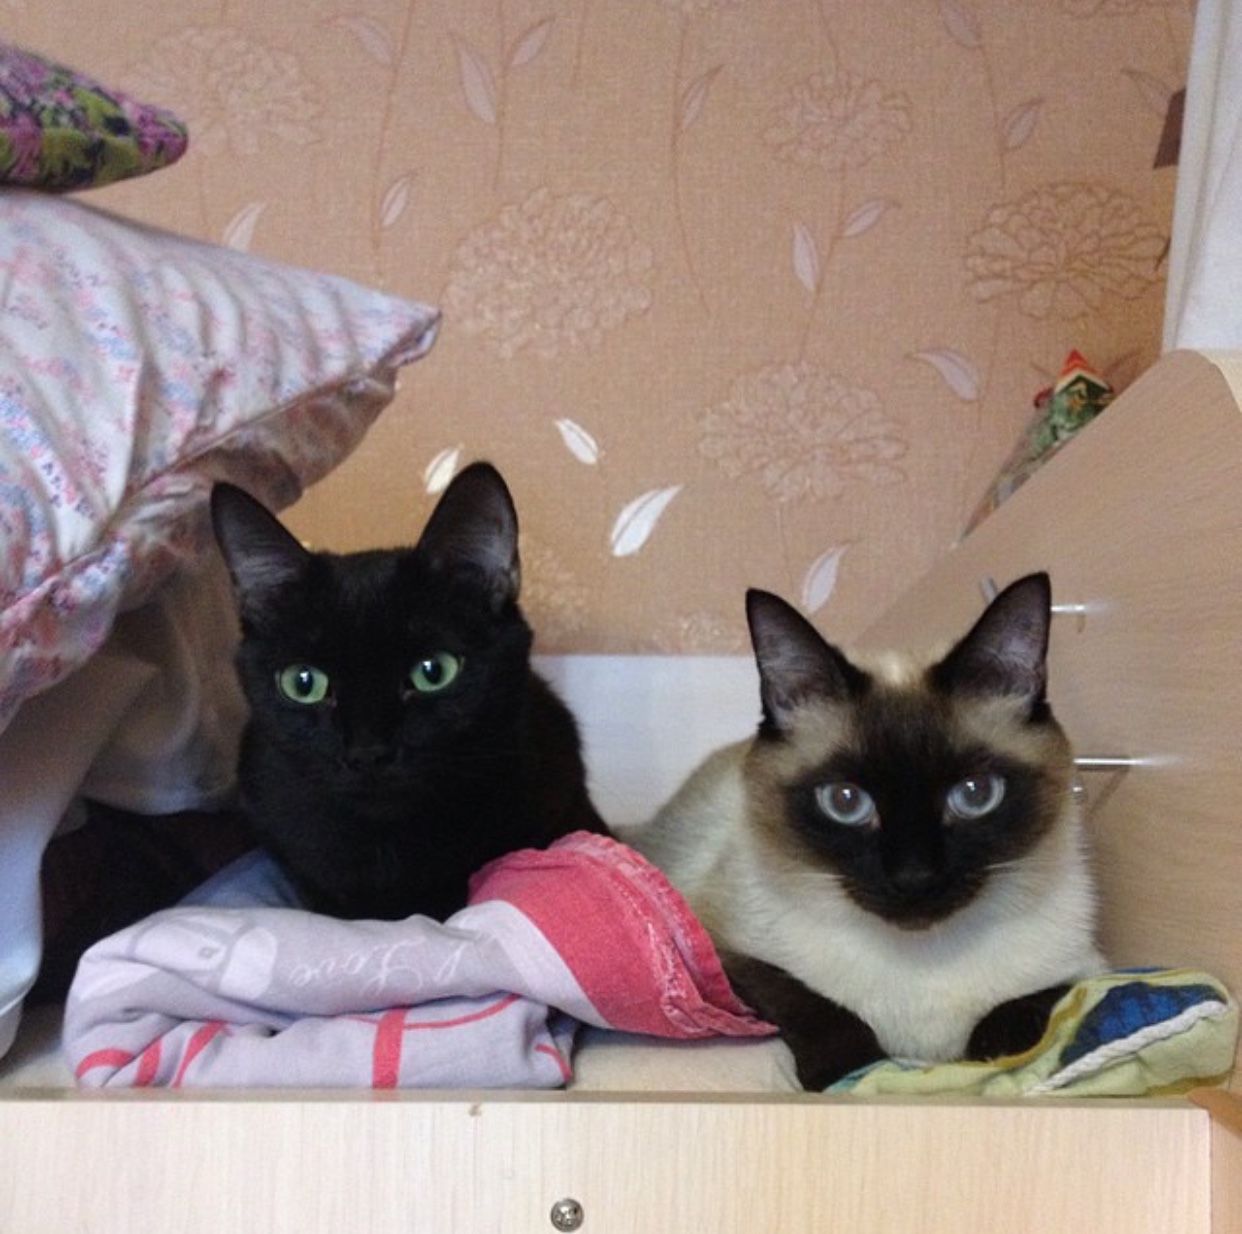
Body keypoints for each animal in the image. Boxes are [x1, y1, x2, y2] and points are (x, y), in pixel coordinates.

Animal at [635, 576, 1102, 1087]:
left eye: (975, 794)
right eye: (845, 801)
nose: (914, 878)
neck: (921, 966)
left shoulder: (1091, 971)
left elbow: (1027, 1004)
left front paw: (997, 1056)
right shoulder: (719, 955)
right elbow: (810, 1002)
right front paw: (850, 1071)